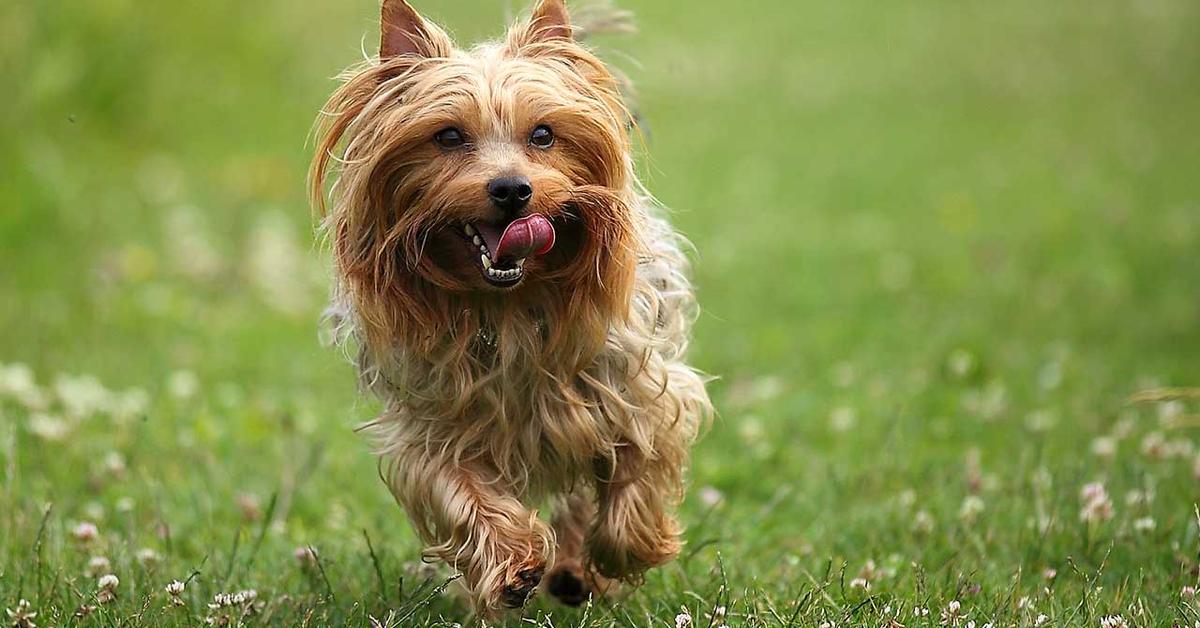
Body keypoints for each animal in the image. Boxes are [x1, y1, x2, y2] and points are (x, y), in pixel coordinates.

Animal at [309, 0, 710, 614]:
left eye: (543, 134)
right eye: (448, 136)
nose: (512, 189)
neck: (508, 304)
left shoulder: (637, 389)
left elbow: (637, 466)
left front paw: (626, 550)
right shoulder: (434, 423)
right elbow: (459, 489)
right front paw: (512, 565)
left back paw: (578, 569)